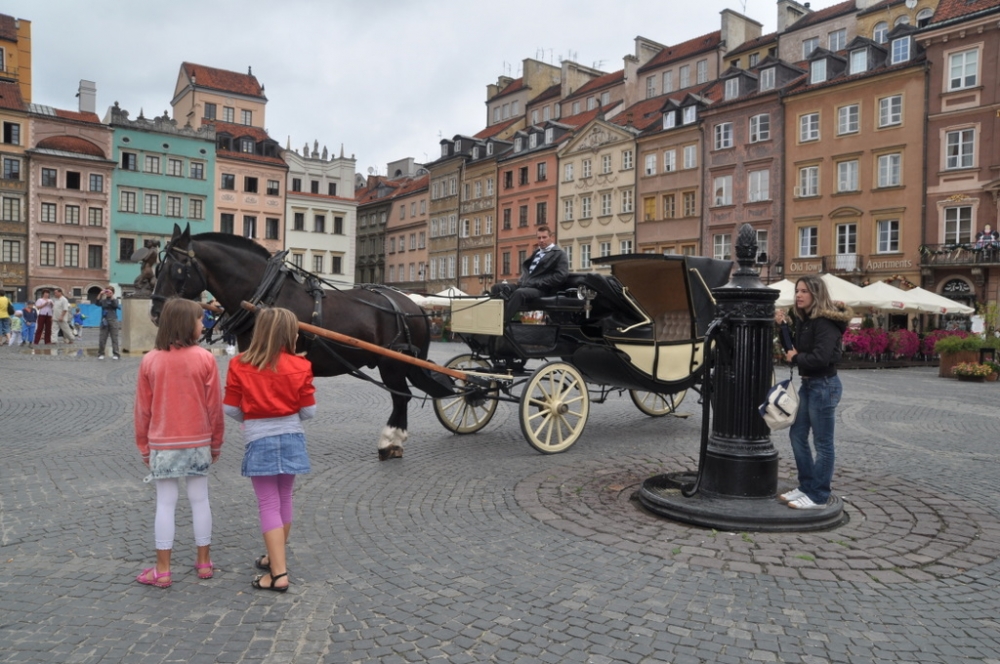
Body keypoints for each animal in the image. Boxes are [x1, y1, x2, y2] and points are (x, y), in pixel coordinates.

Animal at [151, 223, 442, 456]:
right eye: (158, 268)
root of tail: (412, 306)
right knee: (402, 396)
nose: (156, 313)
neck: (266, 297)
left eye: (177, 270)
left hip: (392, 363)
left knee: (401, 396)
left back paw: (390, 440)